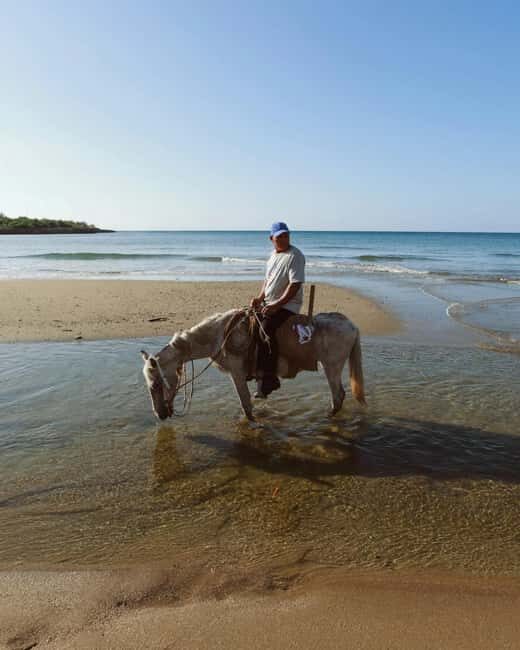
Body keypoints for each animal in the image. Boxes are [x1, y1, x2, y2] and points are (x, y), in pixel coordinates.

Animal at [141, 308, 366, 422]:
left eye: (156, 385)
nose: (160, 415)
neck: (219, 336)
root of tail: (352, 325)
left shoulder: (237, 373)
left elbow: (245, 403)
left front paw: (253, 424)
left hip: (332, 366)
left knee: (338, 395)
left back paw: (327, 418)